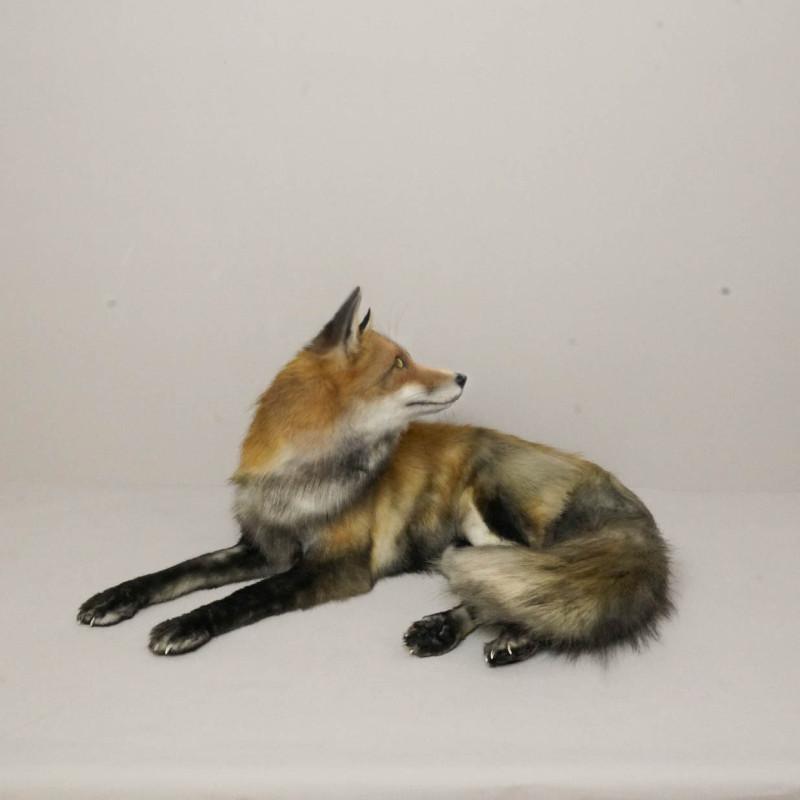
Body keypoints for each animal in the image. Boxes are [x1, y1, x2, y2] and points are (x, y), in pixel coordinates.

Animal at [77, 287, 672, 666]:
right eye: (400, 365)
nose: (462, 375)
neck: (302, 483)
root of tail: (604, 475)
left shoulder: (339, 566)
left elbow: (244, 599)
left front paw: (184, 625)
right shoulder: (262, 547)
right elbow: (177, 573)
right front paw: (116, 597)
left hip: (486, 523)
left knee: (526, 592)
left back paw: (483, 634)